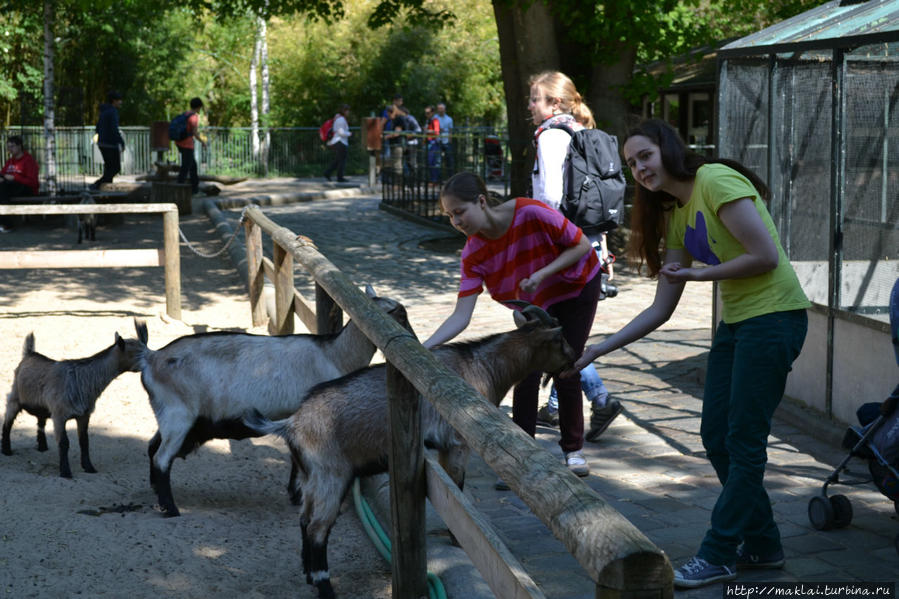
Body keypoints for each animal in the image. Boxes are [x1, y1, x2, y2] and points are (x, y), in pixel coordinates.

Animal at [2, 322, 149, 480]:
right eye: (139, 354)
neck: (84, 379)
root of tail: (29, 353)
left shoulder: (84, 415)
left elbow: (84, 441)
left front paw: (89, 467)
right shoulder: (59, 415)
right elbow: (64, 443)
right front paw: (65, 472)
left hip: (43, 405)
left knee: (40, 420)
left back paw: (42, 446)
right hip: (15, 397)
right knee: (8, 421)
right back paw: (6, 449)